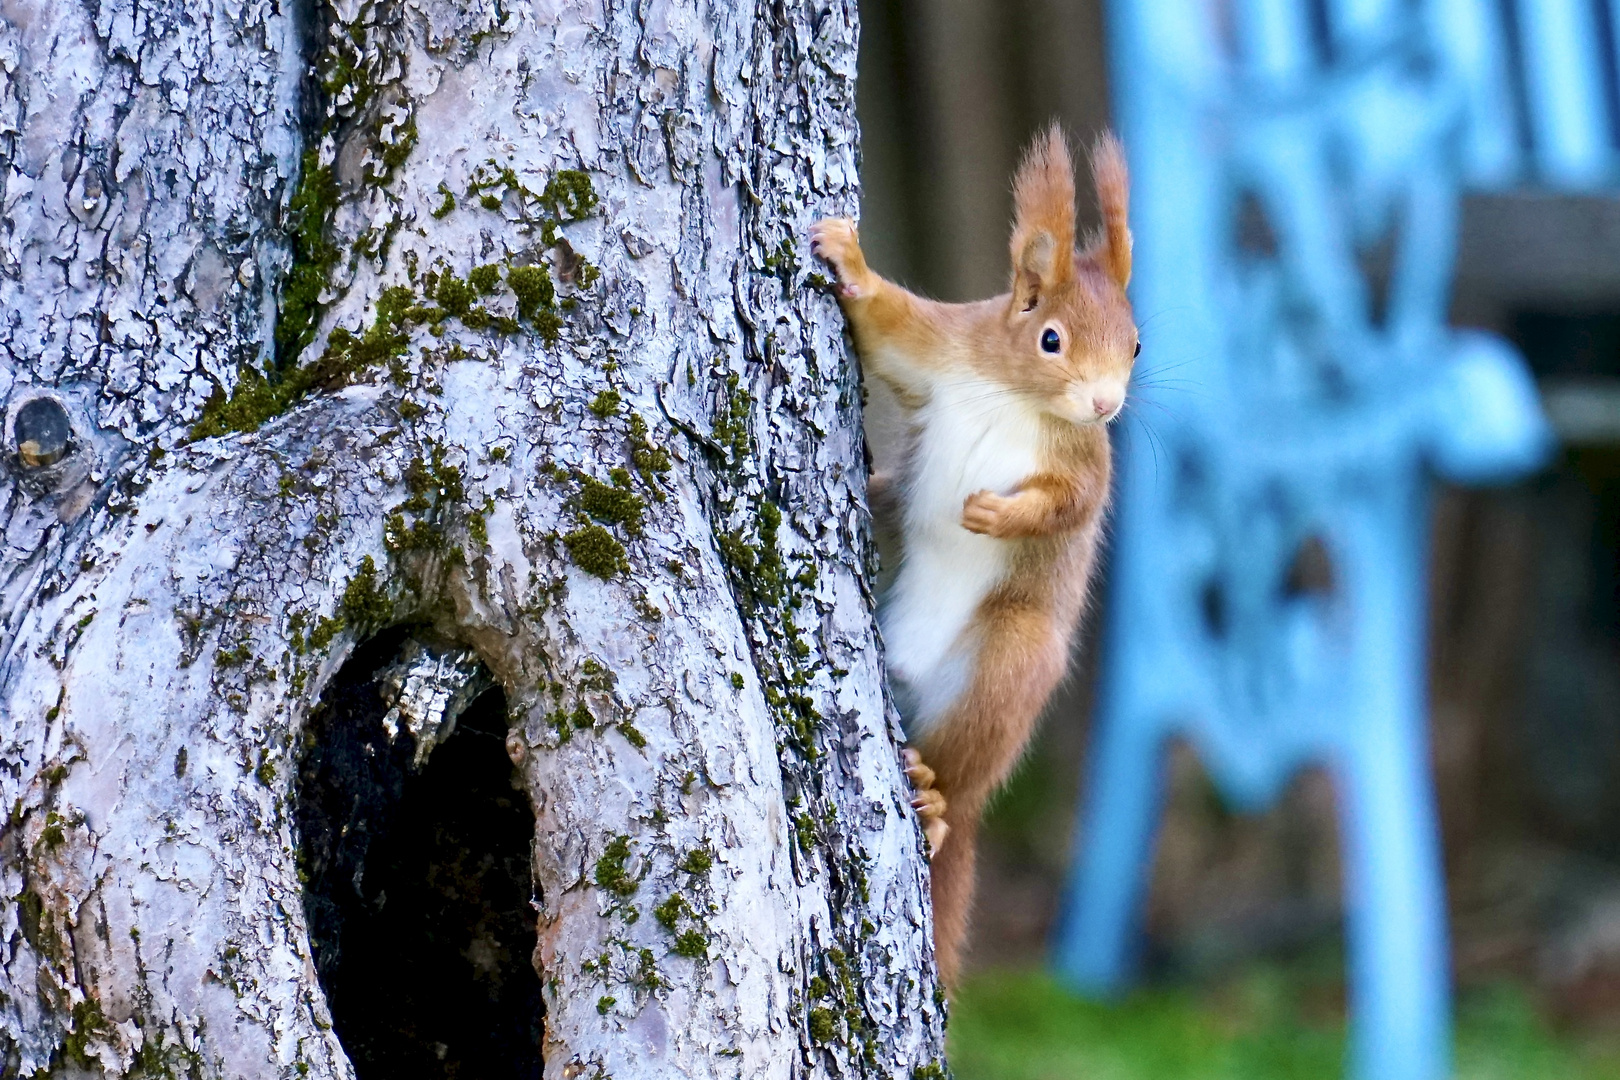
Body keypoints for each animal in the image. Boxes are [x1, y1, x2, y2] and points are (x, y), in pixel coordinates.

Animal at [810, 127, 1140, 990]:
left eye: (1136, 343)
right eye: (1050, 338)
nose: (1106, 404)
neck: (1018, 396)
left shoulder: (1088, 466)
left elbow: (1067, 506)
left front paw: (992, 513)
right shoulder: (938, 350)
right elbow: (886, 322)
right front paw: (849, 258)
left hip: (1009, 662)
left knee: (962, 779)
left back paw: (931, 802)